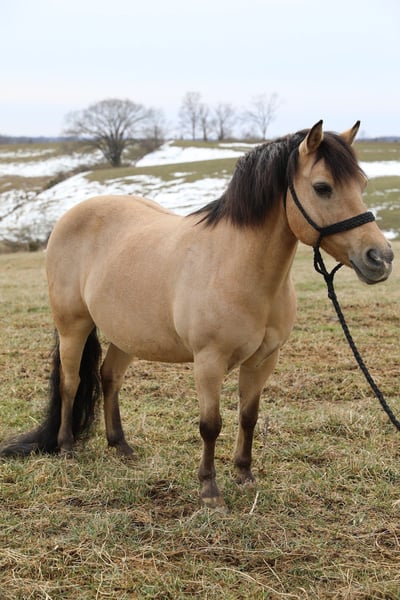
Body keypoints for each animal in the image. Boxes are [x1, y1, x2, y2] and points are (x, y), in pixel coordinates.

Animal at [0, 120, 394, 510]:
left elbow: (248, 417)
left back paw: (121, 446)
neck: (237, 265)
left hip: (126, 334)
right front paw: (210, 490)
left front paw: (244, 475)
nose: (381, 258)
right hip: (73, 327)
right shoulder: (208, 361)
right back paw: (67, 447)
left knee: (109, 377)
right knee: (71, 382)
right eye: (322, 188)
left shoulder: (263, 360)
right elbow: (211, 424)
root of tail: (69, 217)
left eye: (361, 185)